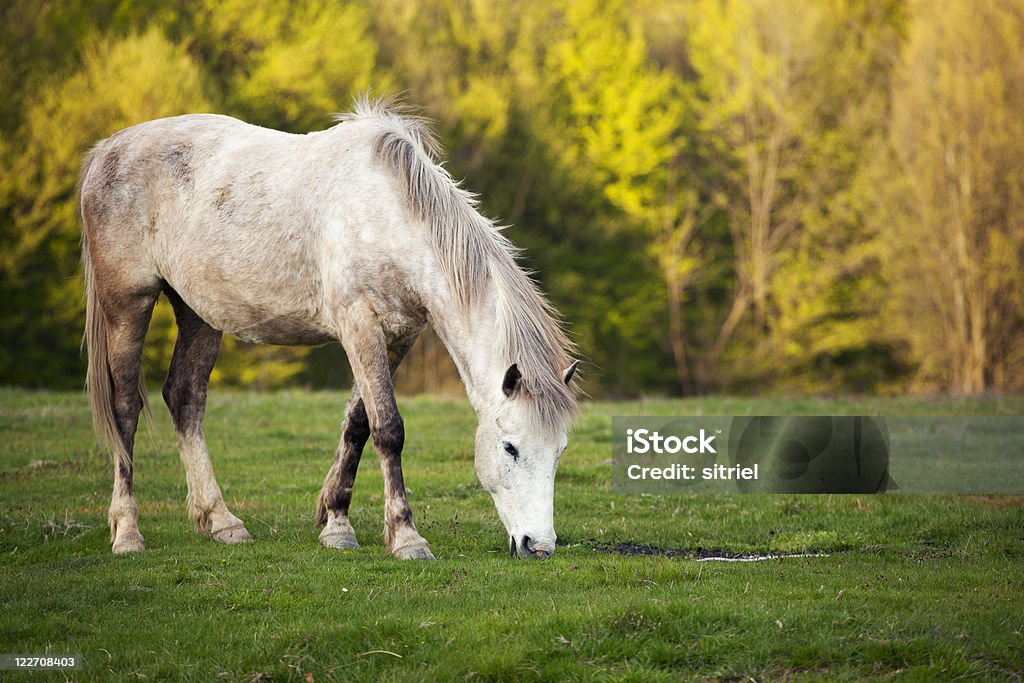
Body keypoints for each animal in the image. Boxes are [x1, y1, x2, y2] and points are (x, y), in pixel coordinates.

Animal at [79, 98, 577, 565]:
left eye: (559, 451)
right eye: (510, 448)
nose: (539, 546)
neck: (389, 216)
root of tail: (106, 151)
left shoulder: (398, 335)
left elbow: (359, 423)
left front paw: (336, 524)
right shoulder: (359, 325)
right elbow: (388, 428)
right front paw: (406, 537)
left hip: (197, 312)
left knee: (185, 398)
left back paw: (221, 522)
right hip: (128, 304)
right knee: (125, 408)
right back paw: (127, 532)